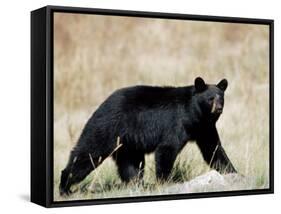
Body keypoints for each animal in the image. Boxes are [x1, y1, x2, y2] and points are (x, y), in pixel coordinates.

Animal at [59, 77, 236, 196]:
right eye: (210, 98)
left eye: (221, 98)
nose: (219, 108)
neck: (196, 115)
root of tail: (101, 105)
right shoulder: (177, 123)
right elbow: (167, 149)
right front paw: (165, 182)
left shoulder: (205, 128)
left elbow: (213, 149)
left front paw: (233, 173)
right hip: (106, 129)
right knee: (87, 154)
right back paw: (64, 188)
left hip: (128, 144)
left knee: (131, 165)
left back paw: (136, 184)